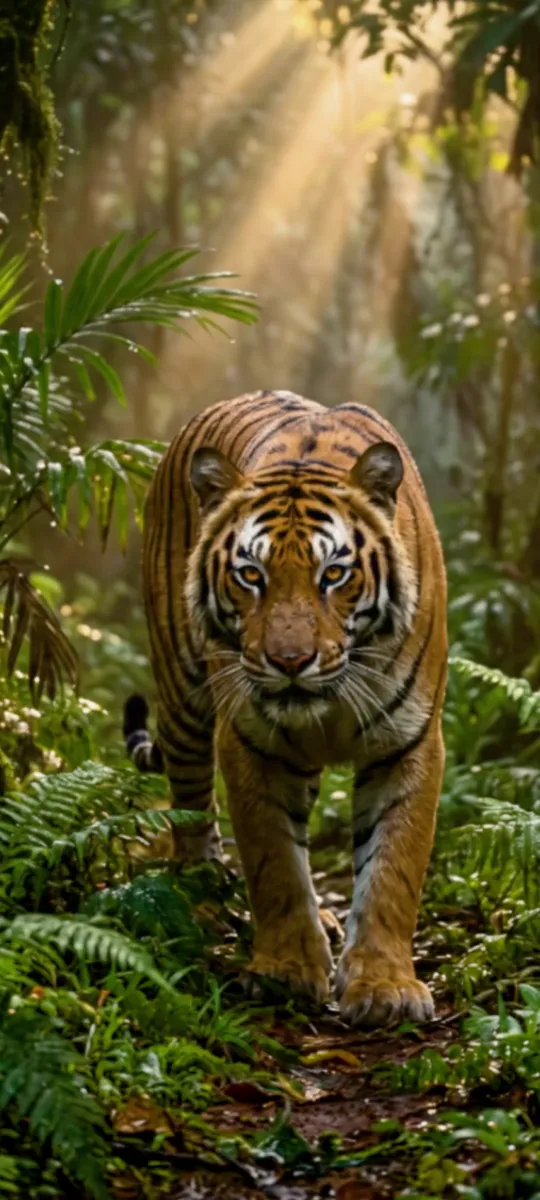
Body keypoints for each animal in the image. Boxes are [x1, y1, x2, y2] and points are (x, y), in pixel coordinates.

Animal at [123, 390, 447, 1028]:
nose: (290, 660)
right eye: (251, 574)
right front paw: (287, 971)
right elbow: (275, 864)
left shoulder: (411, 742)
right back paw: (201, 901)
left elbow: (393, 870)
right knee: (192, 810)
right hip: (182, 696)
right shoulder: (250, 741)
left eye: (334, 574)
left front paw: (385, 986)